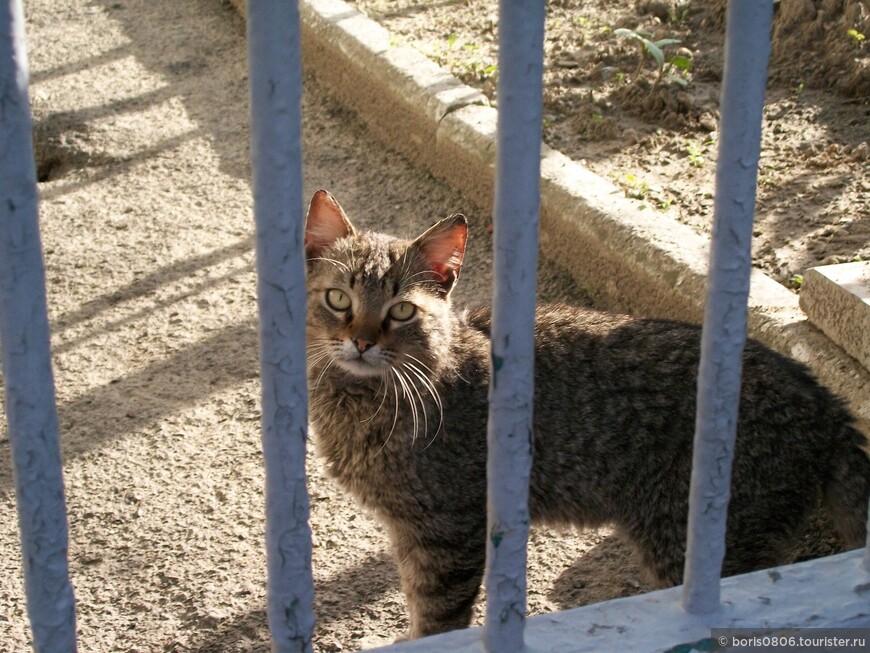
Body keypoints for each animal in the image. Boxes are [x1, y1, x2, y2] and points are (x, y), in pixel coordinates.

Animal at [304, 187, 868, 636]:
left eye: (402, 310)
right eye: (338, 299)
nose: (361, 341)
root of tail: (828, 406)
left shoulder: (446, 532)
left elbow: (436, 617)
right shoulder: (408, 530)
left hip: (699, 543)